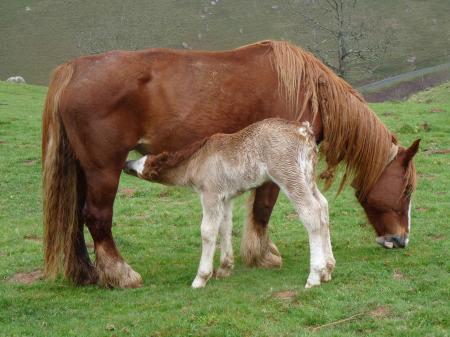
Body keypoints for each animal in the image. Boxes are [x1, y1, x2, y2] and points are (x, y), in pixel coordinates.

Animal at [123, 117, 334, 286]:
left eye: (143, 164)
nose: (125, 163)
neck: (197, 161)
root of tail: (303, 130)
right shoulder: (225, 198)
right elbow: (225, 226)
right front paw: (224, 268)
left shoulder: (210, 194)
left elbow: (208, 231)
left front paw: (201, 277)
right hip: (307, 177)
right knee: (323, 206)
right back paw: (328, 269)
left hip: (289, 176)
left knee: (311, 212)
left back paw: (314, 276)